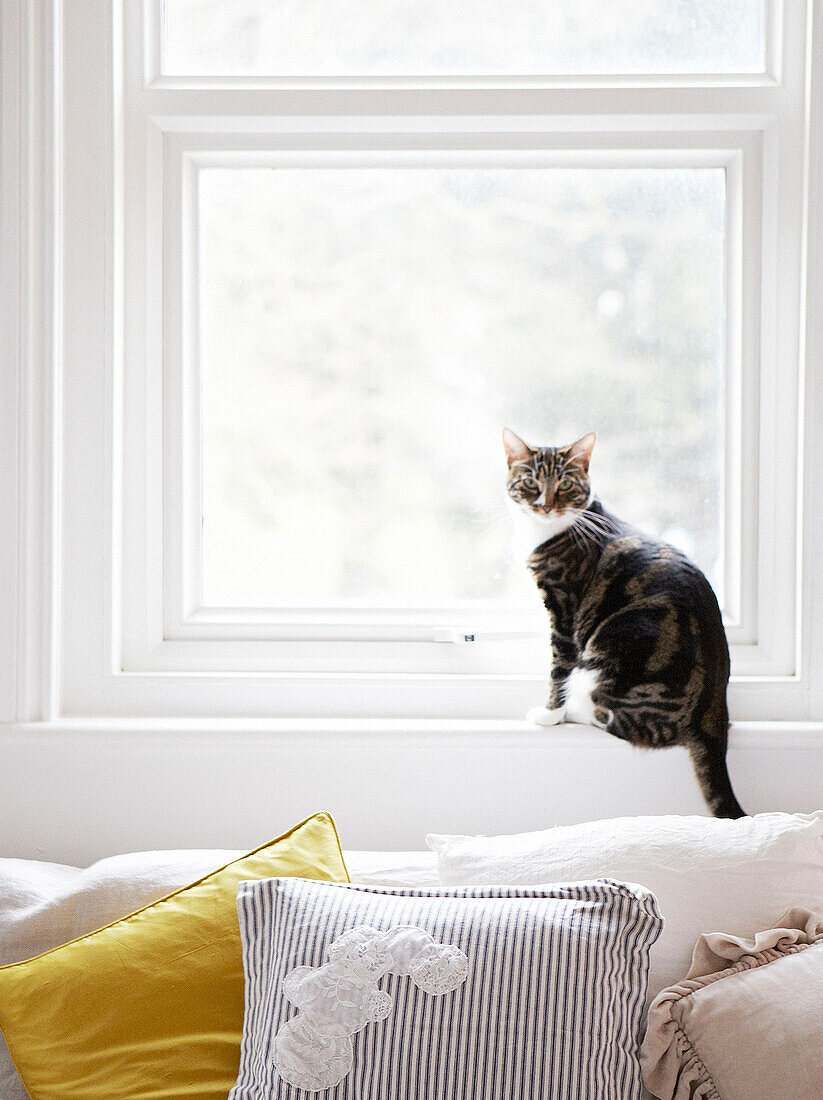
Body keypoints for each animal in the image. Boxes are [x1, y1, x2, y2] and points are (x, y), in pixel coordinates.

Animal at [501, 424, 743, 822]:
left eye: (565, 484)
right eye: (532, 482)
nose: (546, 505)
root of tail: (714, 712)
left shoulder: (563, 608)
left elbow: (558, 667)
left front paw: (551, 713)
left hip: (618, 649)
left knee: (624, 721)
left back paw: (577, 706)